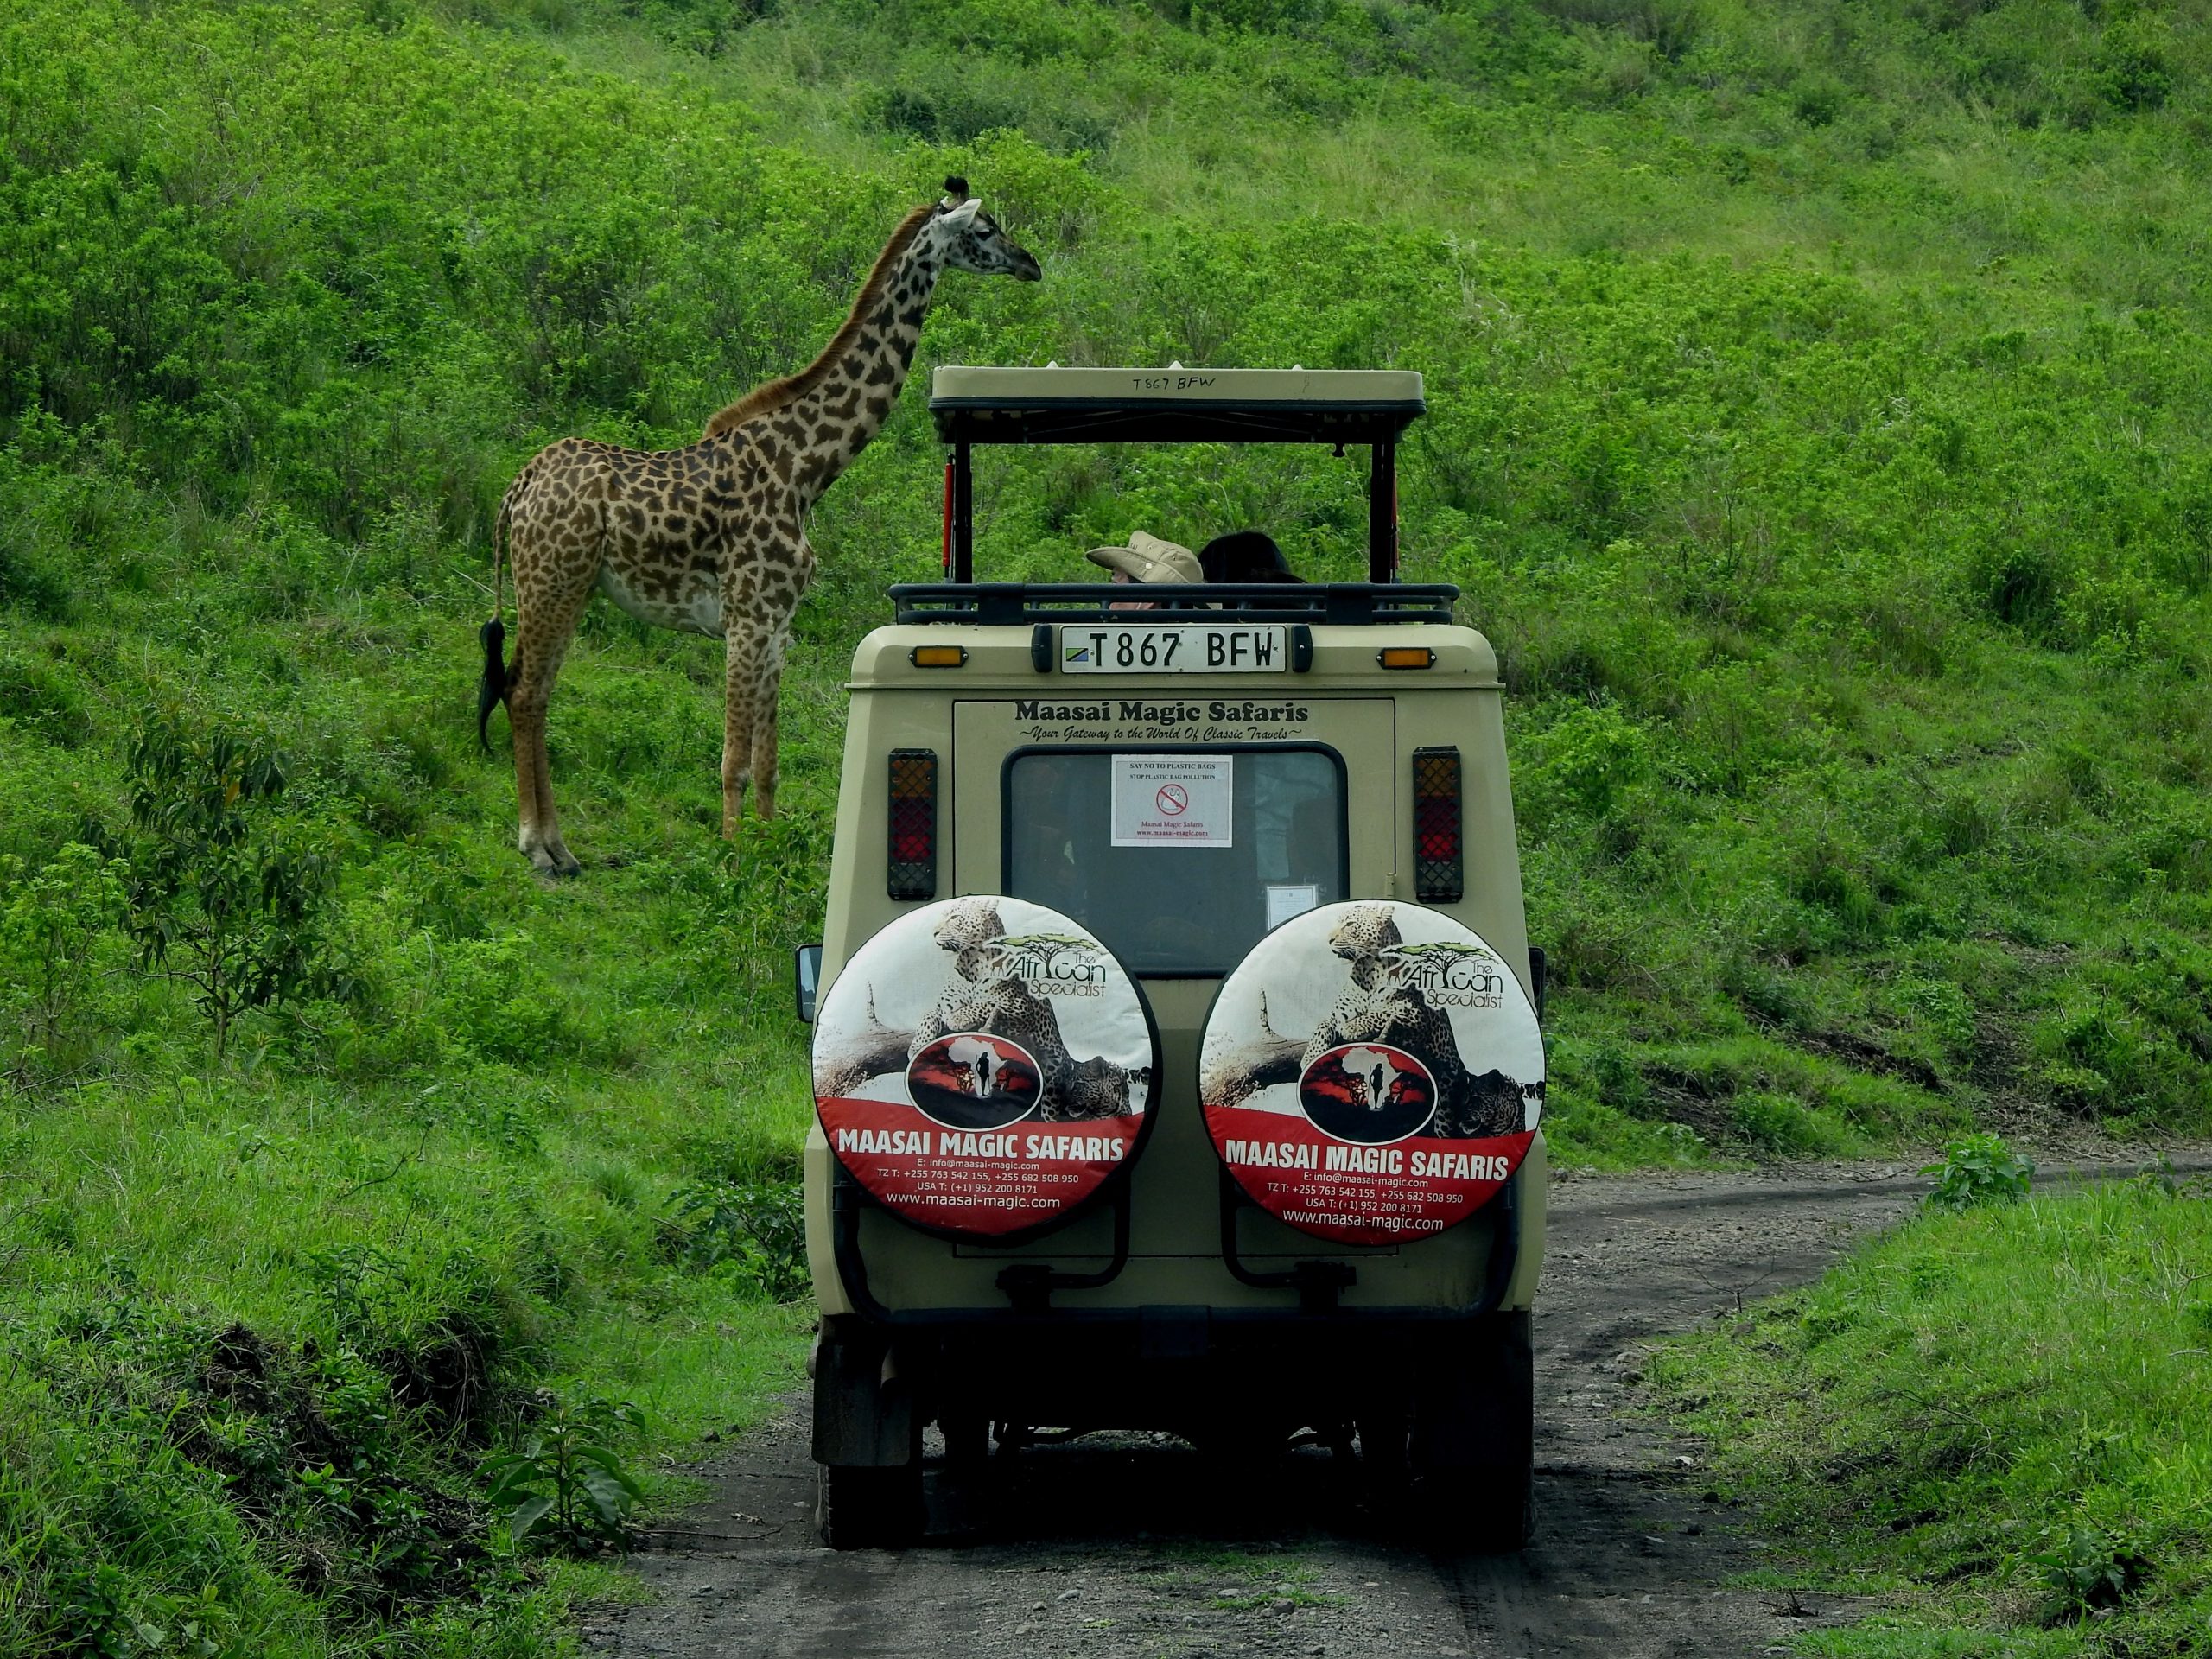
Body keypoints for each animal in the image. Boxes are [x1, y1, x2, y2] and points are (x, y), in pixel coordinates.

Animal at [475, 180, 1035, 875]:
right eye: (985, 231)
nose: (1031, 264)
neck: (806, 468)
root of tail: (517, 489)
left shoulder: (778, 625)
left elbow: (768, 762)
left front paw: (769, 853)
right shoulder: (745, 617)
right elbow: (733, 761)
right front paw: (731, 856)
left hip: (563, 586)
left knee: (532, 690)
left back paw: (559, 847)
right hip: (553, 581)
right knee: (525, 693)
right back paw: (541, 848)